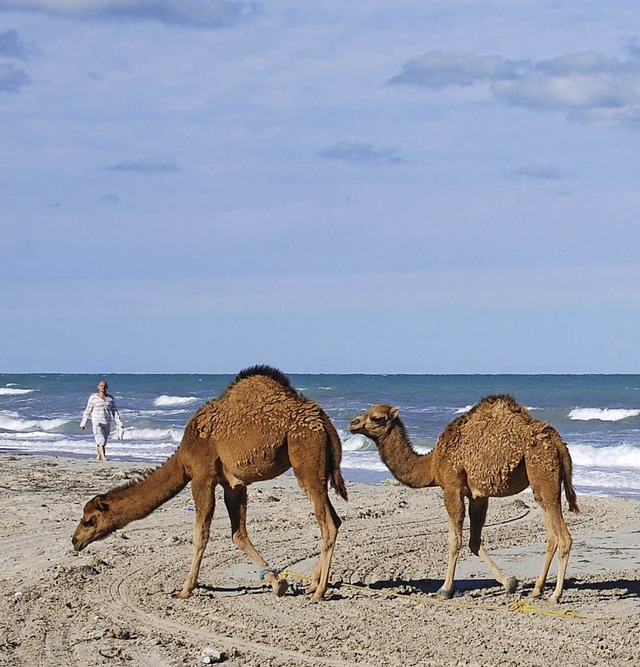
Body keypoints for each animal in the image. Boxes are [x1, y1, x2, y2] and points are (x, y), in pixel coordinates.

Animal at [72, 368, 348, 604]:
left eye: (89, 521)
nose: (75, 541)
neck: (183, 458)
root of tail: (325, 422)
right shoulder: (233, 484)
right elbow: (238, 534)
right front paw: (277, 583)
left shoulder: (202, 476)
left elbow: (200, 535)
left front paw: (184, 590)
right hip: (318, 469)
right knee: (335, 519)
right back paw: (312, 584)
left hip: (306, 458)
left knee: (328, 524)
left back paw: (319, 592)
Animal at [350, 396, 580, 604]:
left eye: (376, 418)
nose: (353, 423)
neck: (432, 463)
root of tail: (558, 441)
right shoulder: (478, 496)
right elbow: (474, 541)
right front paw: (509, 582)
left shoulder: (452, 488)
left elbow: (454, 540)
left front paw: (444, 590)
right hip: (541, 483)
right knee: (551, 535)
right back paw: (536, 590)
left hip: (543, 469)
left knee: (564, 537)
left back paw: (555, 596)